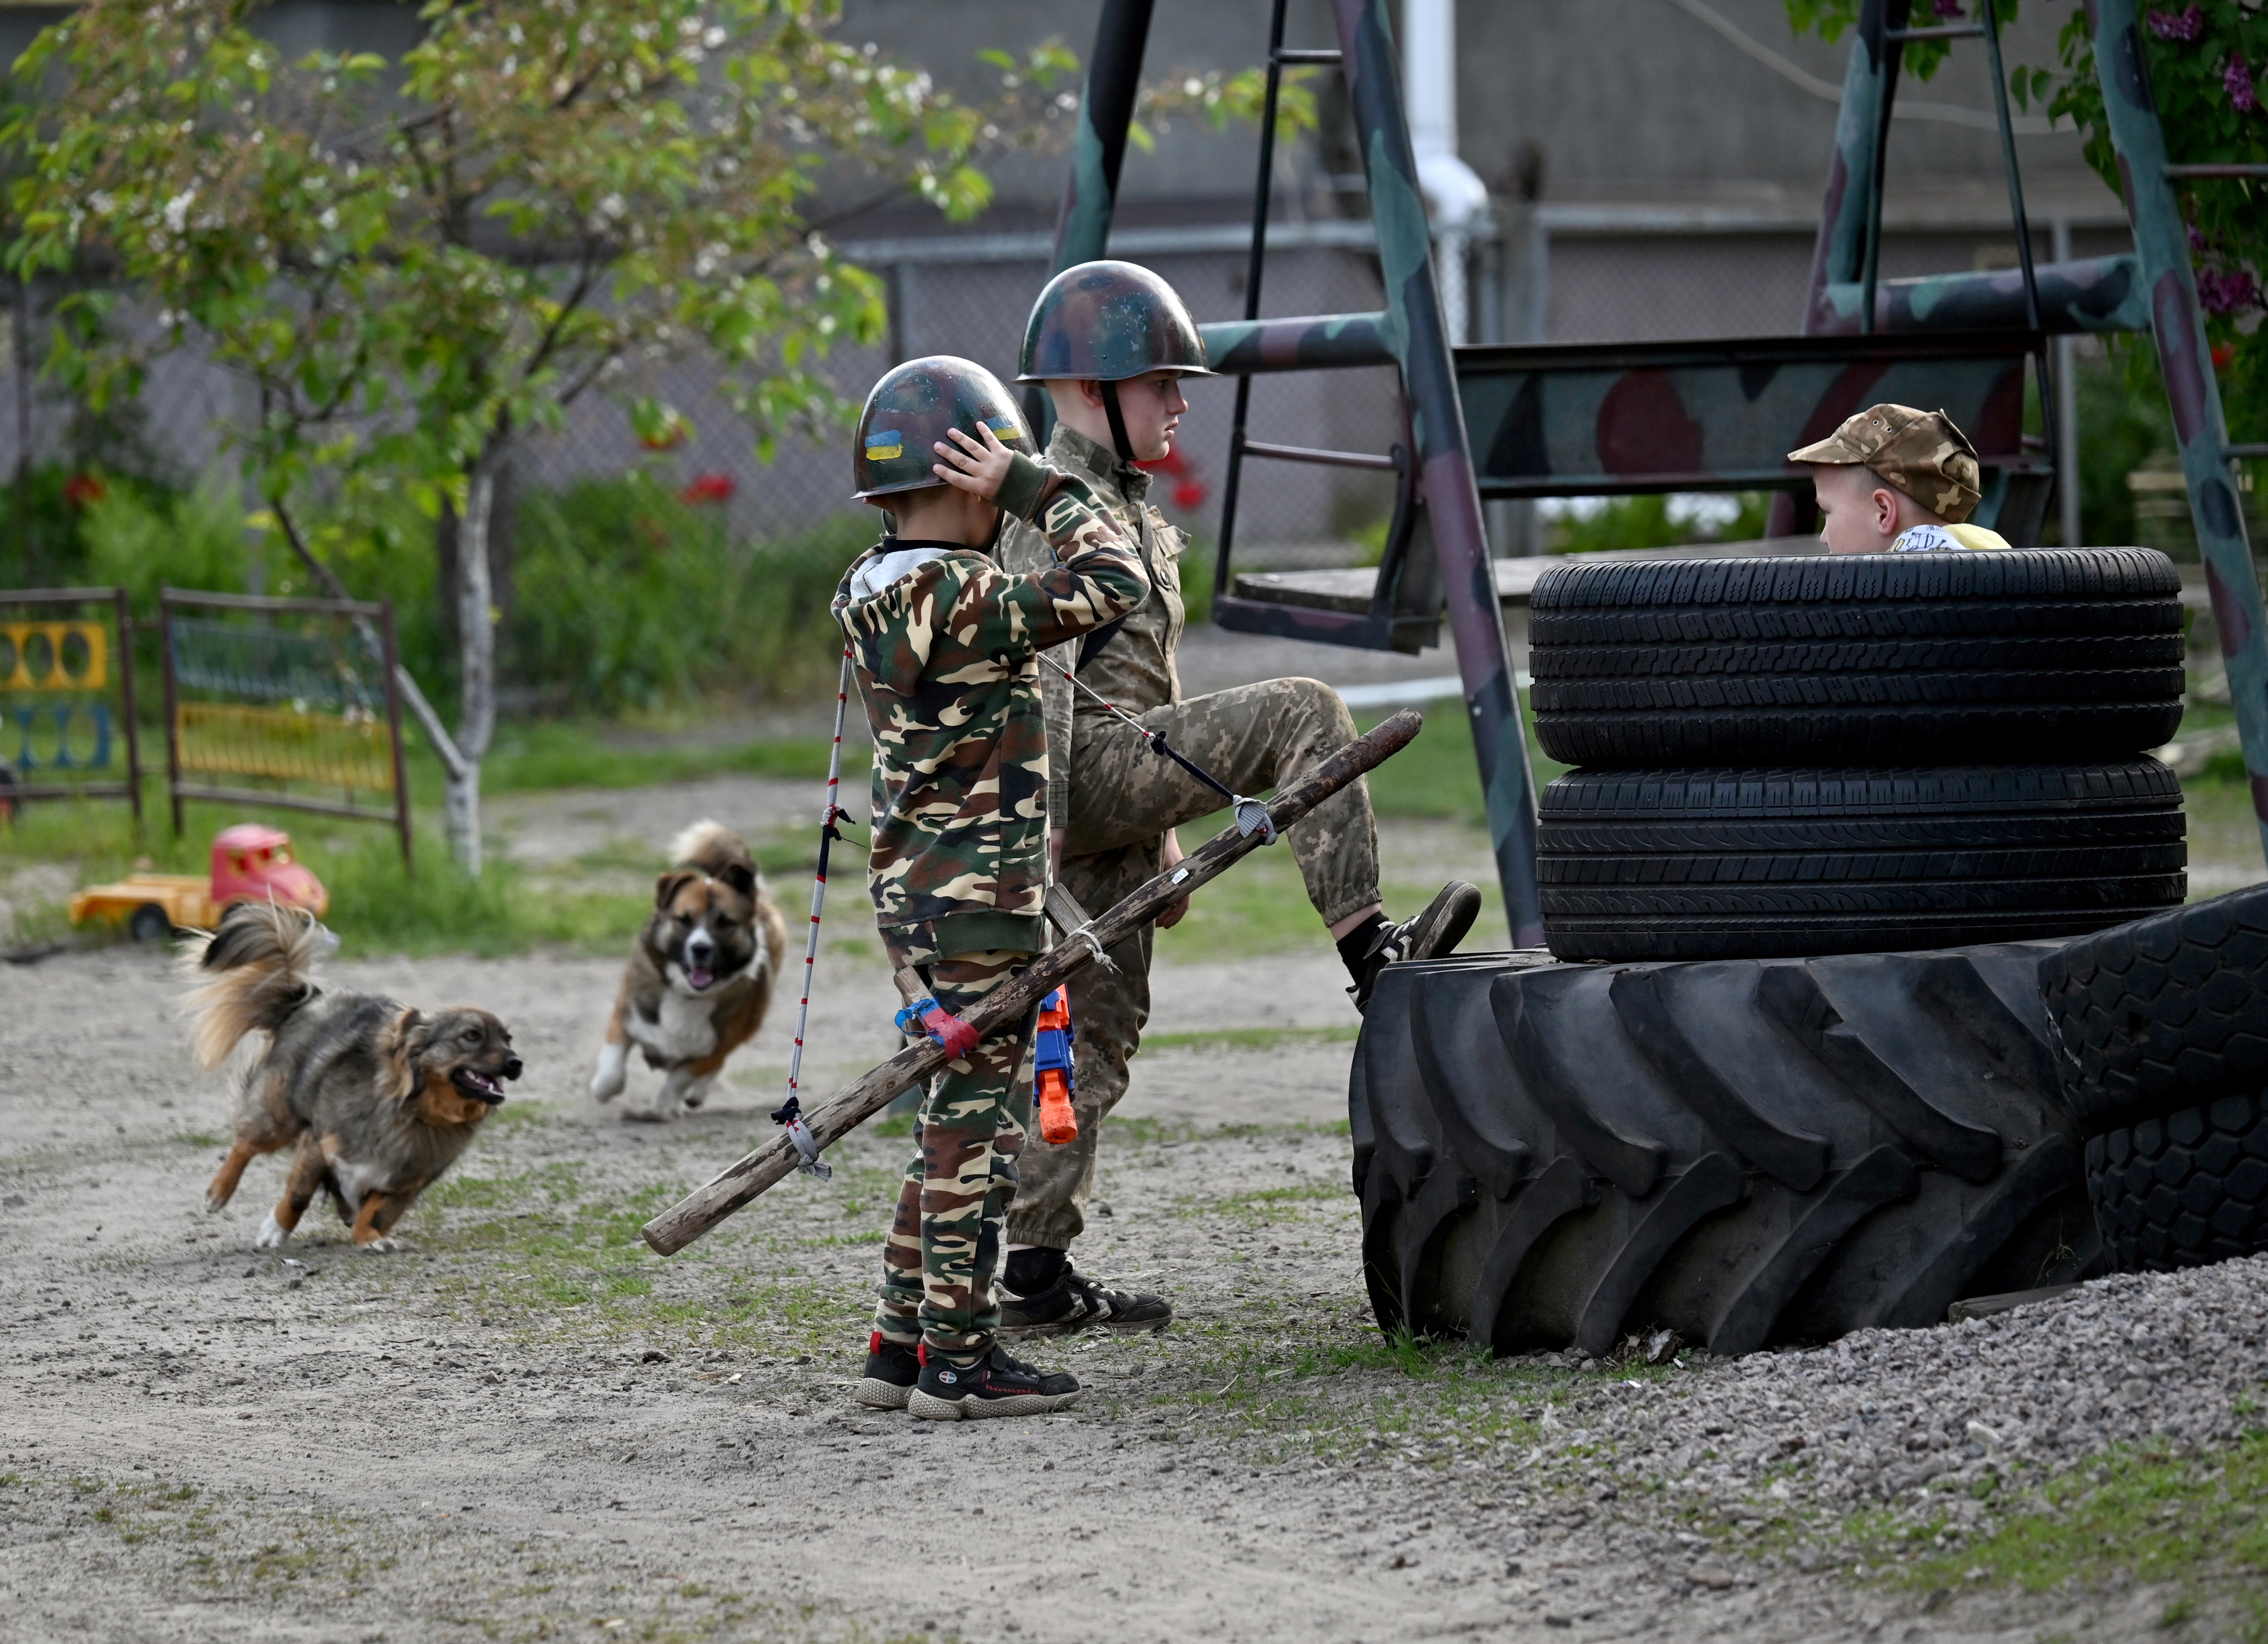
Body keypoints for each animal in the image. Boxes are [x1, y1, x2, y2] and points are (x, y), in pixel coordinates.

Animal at [187, 902, 521, 1251]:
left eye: (508, 1039)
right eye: (471, 1036)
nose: (516, 1063)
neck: (414, 1113)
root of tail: (311, 1000)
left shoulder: (407, 1181)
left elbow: (378, 1210)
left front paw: (368, 1237)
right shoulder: (318, 1143)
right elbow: (299, 1195)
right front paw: (275, 1230)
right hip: (279, 1116)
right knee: (246, 1143)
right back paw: (218, 1193)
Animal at [594, 816, 789, 1116]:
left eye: (725, 922)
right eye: (683, 920)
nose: (700, 948)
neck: (687, 995)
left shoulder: (716, 1048)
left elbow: (681, 1078)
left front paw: (663, 1108)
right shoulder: (626, 1015)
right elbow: (613, 1069)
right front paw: (601, 1089)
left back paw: (696, 1095)